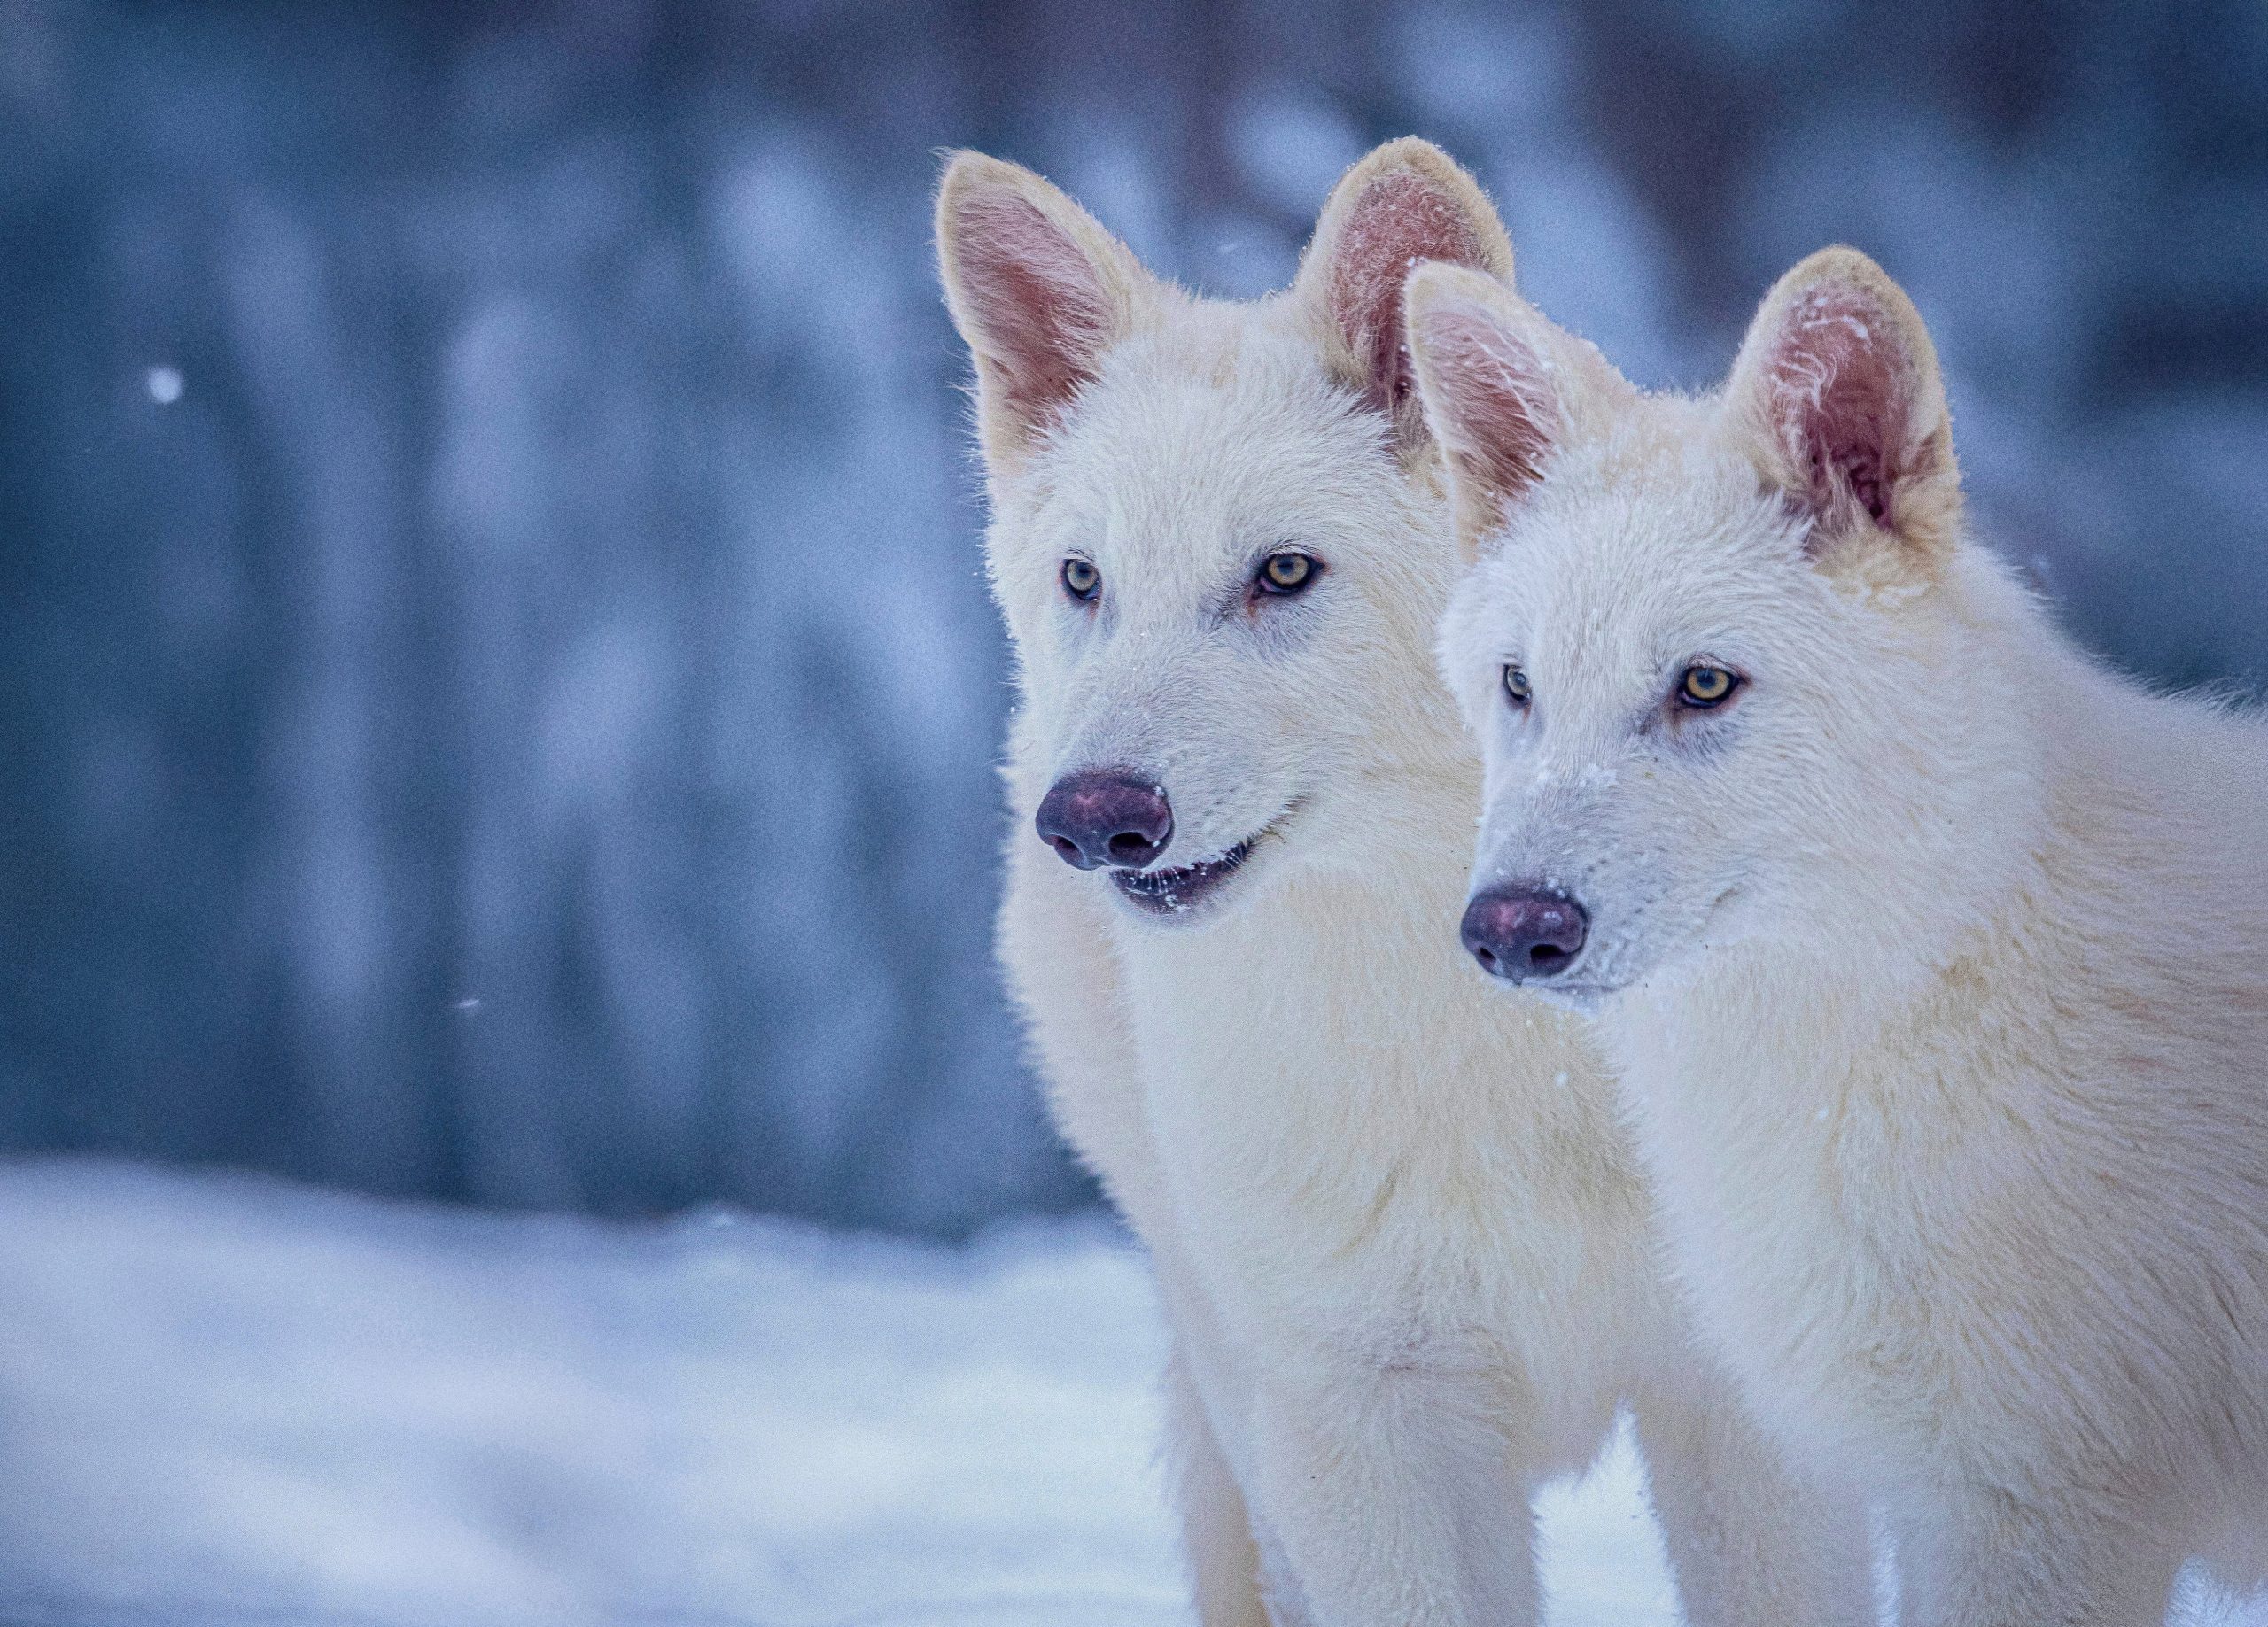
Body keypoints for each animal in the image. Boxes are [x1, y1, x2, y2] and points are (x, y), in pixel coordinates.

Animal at [935, 139, 1871, 1626]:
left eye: (1282, 573)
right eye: (1086, 579)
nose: (1092, 821)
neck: (1493, 1046)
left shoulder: (1744, 1413)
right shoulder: (1358, 1425)